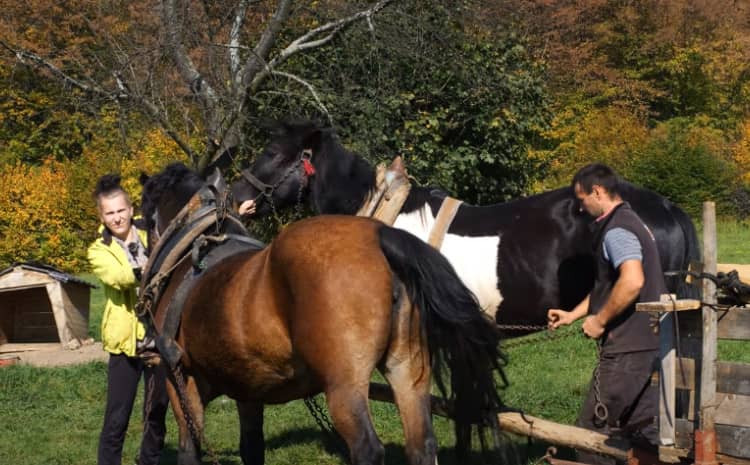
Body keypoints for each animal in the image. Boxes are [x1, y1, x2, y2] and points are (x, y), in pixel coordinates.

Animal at [139, 164, 508, 464]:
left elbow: (190, 449)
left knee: (367, 449)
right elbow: (252, 449)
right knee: (422, 445)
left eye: (145, 217)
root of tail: (381, 237)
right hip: (408, 371)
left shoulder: (180, 380)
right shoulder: (249, 389)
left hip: (344, 387)